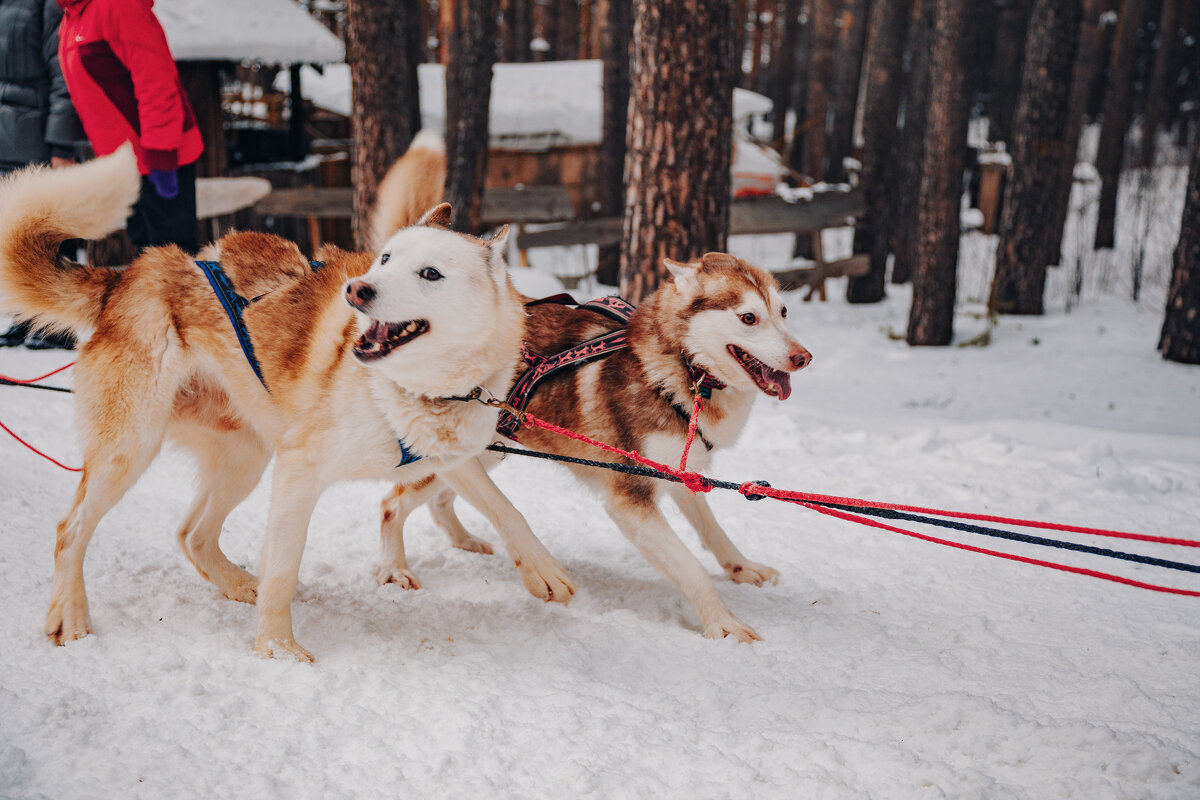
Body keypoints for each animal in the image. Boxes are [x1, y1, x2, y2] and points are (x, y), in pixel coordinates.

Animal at [0, 143, 573, 662]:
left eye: (430, 273)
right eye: (386, 258)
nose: (357, 290)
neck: (406, 389)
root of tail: (125, 276)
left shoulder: (449, 458)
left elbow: (507, 509)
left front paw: (543, 569)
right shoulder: (299, 470)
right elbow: (283, 568)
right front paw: (276, 647)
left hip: (246, 458)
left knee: (191, 535)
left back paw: (236, 585)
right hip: (132, 449)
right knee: (70, 531)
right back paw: (70, 616)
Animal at [374, 253, 811, 642]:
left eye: (784, 312)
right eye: (748, 318)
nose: (802, 357)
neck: (682, 370)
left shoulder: (680, 473)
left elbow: (714, 532)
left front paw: (741, 568)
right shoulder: (630, 500)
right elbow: (691, 568)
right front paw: (723, 624)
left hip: (488, 450)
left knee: (439, 498)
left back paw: (464, 540)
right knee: (391, 503)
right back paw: (394, 569)